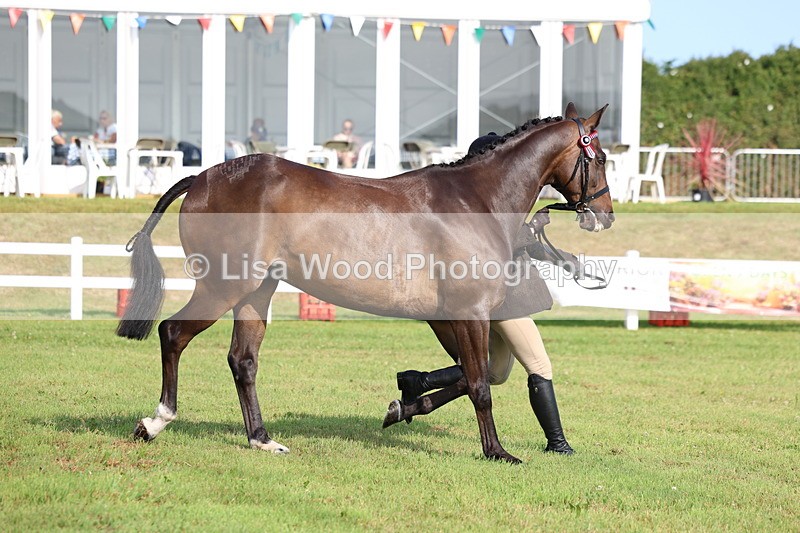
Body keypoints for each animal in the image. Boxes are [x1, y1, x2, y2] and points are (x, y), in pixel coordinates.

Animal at [117, 103, 614, 464]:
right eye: (602, 157)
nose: (604, 214)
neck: (476, 201)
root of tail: (201, 177)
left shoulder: (452, 317)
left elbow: (471, 377)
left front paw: (404, 402)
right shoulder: (469, 313)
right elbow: (479, 385)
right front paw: (496, 452)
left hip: (256, 292)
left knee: (243, 360)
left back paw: (262, 439)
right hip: (224, 285)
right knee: (173, 333)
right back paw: (156, 421)